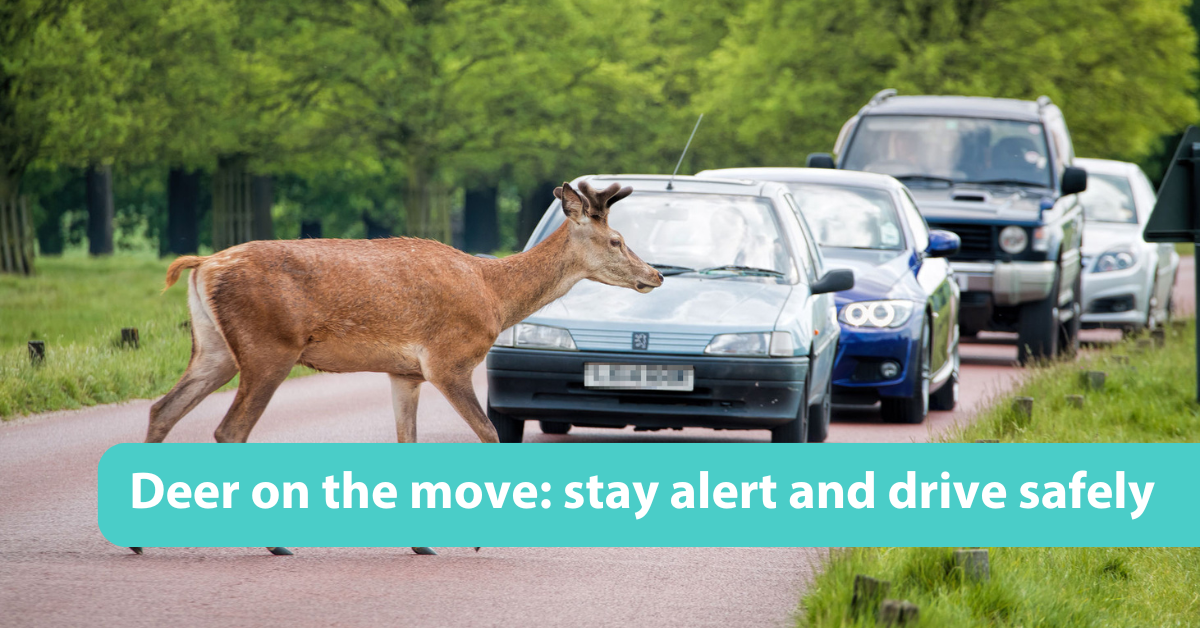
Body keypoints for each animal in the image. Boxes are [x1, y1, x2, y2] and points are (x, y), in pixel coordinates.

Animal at [127, 181, 662, 557]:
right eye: (616, 240)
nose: (654, 274)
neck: (494, 295)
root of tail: (203, 265)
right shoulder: (448, 360)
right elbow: (490, 436)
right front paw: (476, 538)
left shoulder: (405, 372)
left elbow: (409, 443)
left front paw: (421, 542)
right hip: (268, 348)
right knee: (229, 430)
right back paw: (275, 542)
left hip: (214, 349)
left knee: (162, 409)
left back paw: (137, 538)